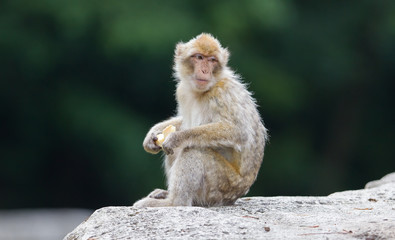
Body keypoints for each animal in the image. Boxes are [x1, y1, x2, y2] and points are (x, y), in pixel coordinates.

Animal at [134, 32, 270, 207]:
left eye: (212, 60)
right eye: (199, 57)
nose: (205, 70)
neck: (203, 91)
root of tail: (236, 196)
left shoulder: (222, 93)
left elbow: (239, 132)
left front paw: (177, 137)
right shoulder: (182, 91)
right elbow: (184, 122)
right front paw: (153, 133)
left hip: (222, 185)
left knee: (195, 150)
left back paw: (174, 202)